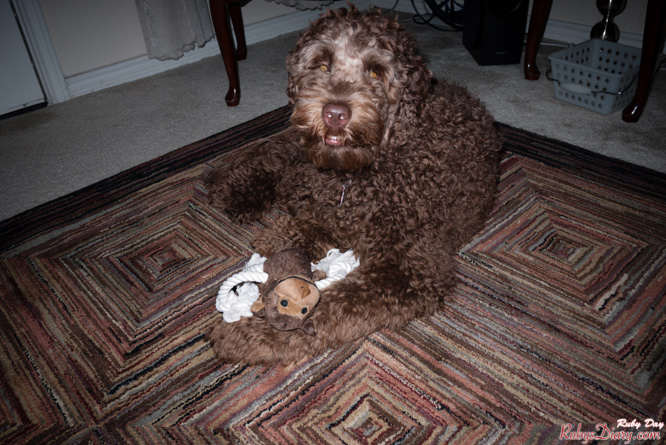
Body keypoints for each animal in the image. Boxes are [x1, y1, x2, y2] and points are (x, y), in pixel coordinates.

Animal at [206, 5, 498, 364]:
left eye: (376, 73)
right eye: (322, 64)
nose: (334, 113)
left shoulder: (413, 268)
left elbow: (326, 306)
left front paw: (252, 334)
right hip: (301, 155)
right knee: (278, 152)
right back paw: (233, 187)